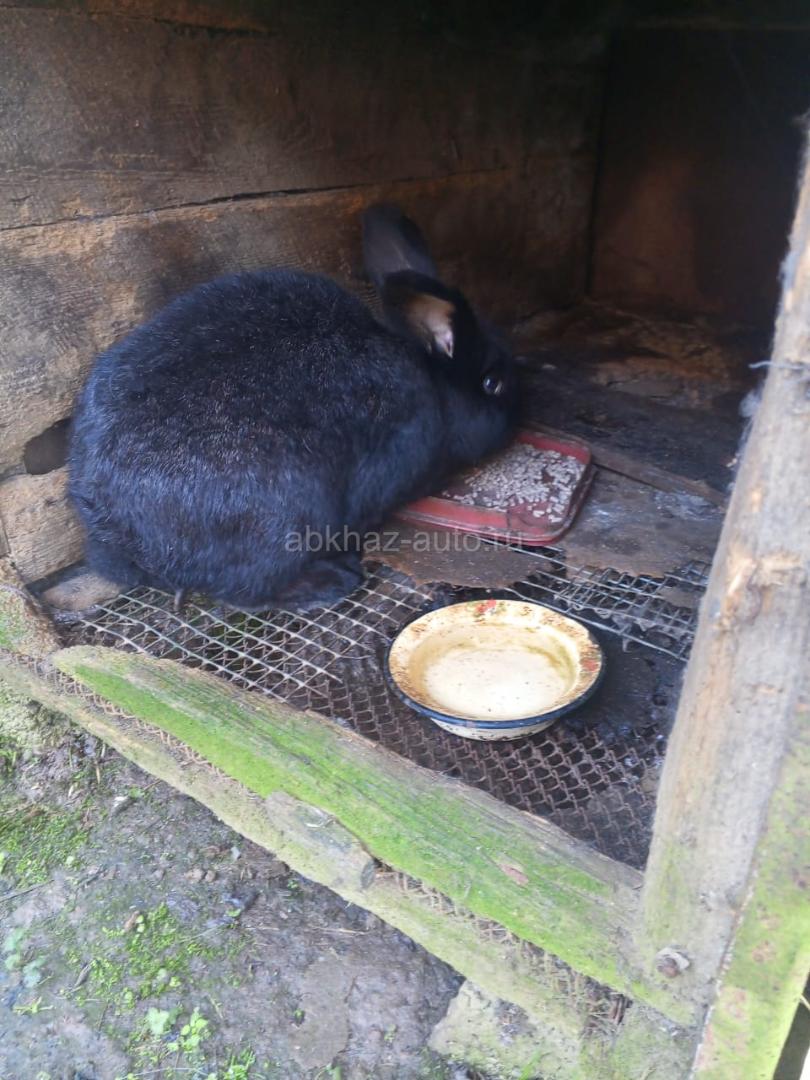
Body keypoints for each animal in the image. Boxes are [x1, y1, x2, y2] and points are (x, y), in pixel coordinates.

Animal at [68, 203, 519, 612]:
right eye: (492, 384)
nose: (520, 407)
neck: (431, 380)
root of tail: (118, 533)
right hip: (289, 520)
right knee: (244, 591)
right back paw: (335, 580)